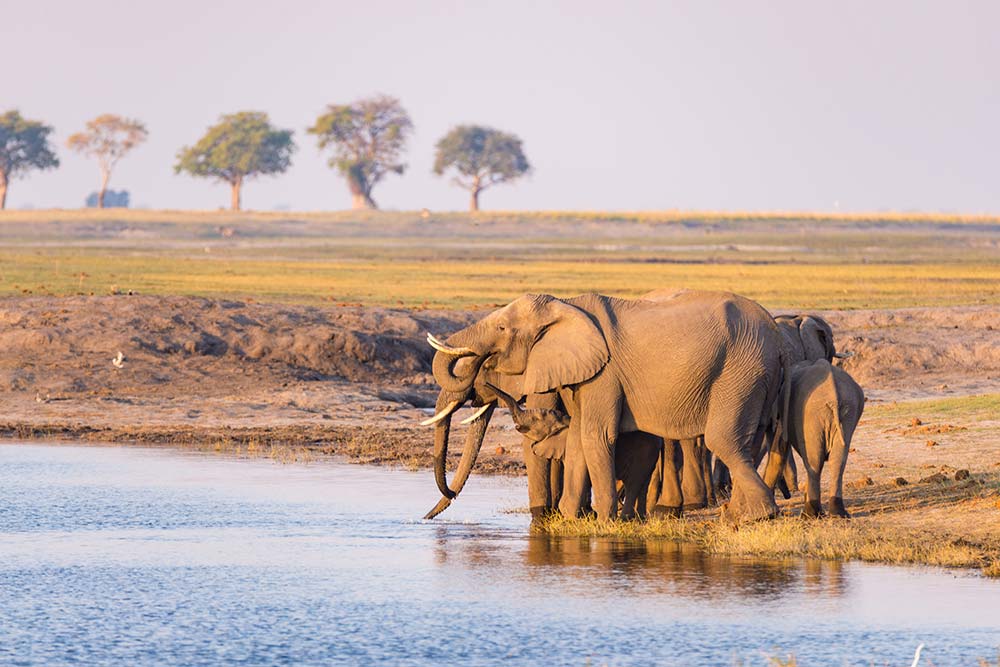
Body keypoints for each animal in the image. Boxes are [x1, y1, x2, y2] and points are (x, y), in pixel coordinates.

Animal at [422, 290, 791, 523]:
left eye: (501, 328)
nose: (426, 517)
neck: (566, 305)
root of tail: (778, 338)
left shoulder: (605, 374)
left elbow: (595, 436)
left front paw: (601, 521)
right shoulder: (583, 374)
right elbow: (576, 439)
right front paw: (570, 518)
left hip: (740, 370)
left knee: (723, 439)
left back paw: (760, 515)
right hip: (753, 376)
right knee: (749, 439)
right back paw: (740, 513)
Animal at [780, 359, 865, 518]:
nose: (788, 495)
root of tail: (833, 394)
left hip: (811, 415)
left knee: (814, 461)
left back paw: (810, 515)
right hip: (849, 411)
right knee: (838, 461)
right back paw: (838, 514)